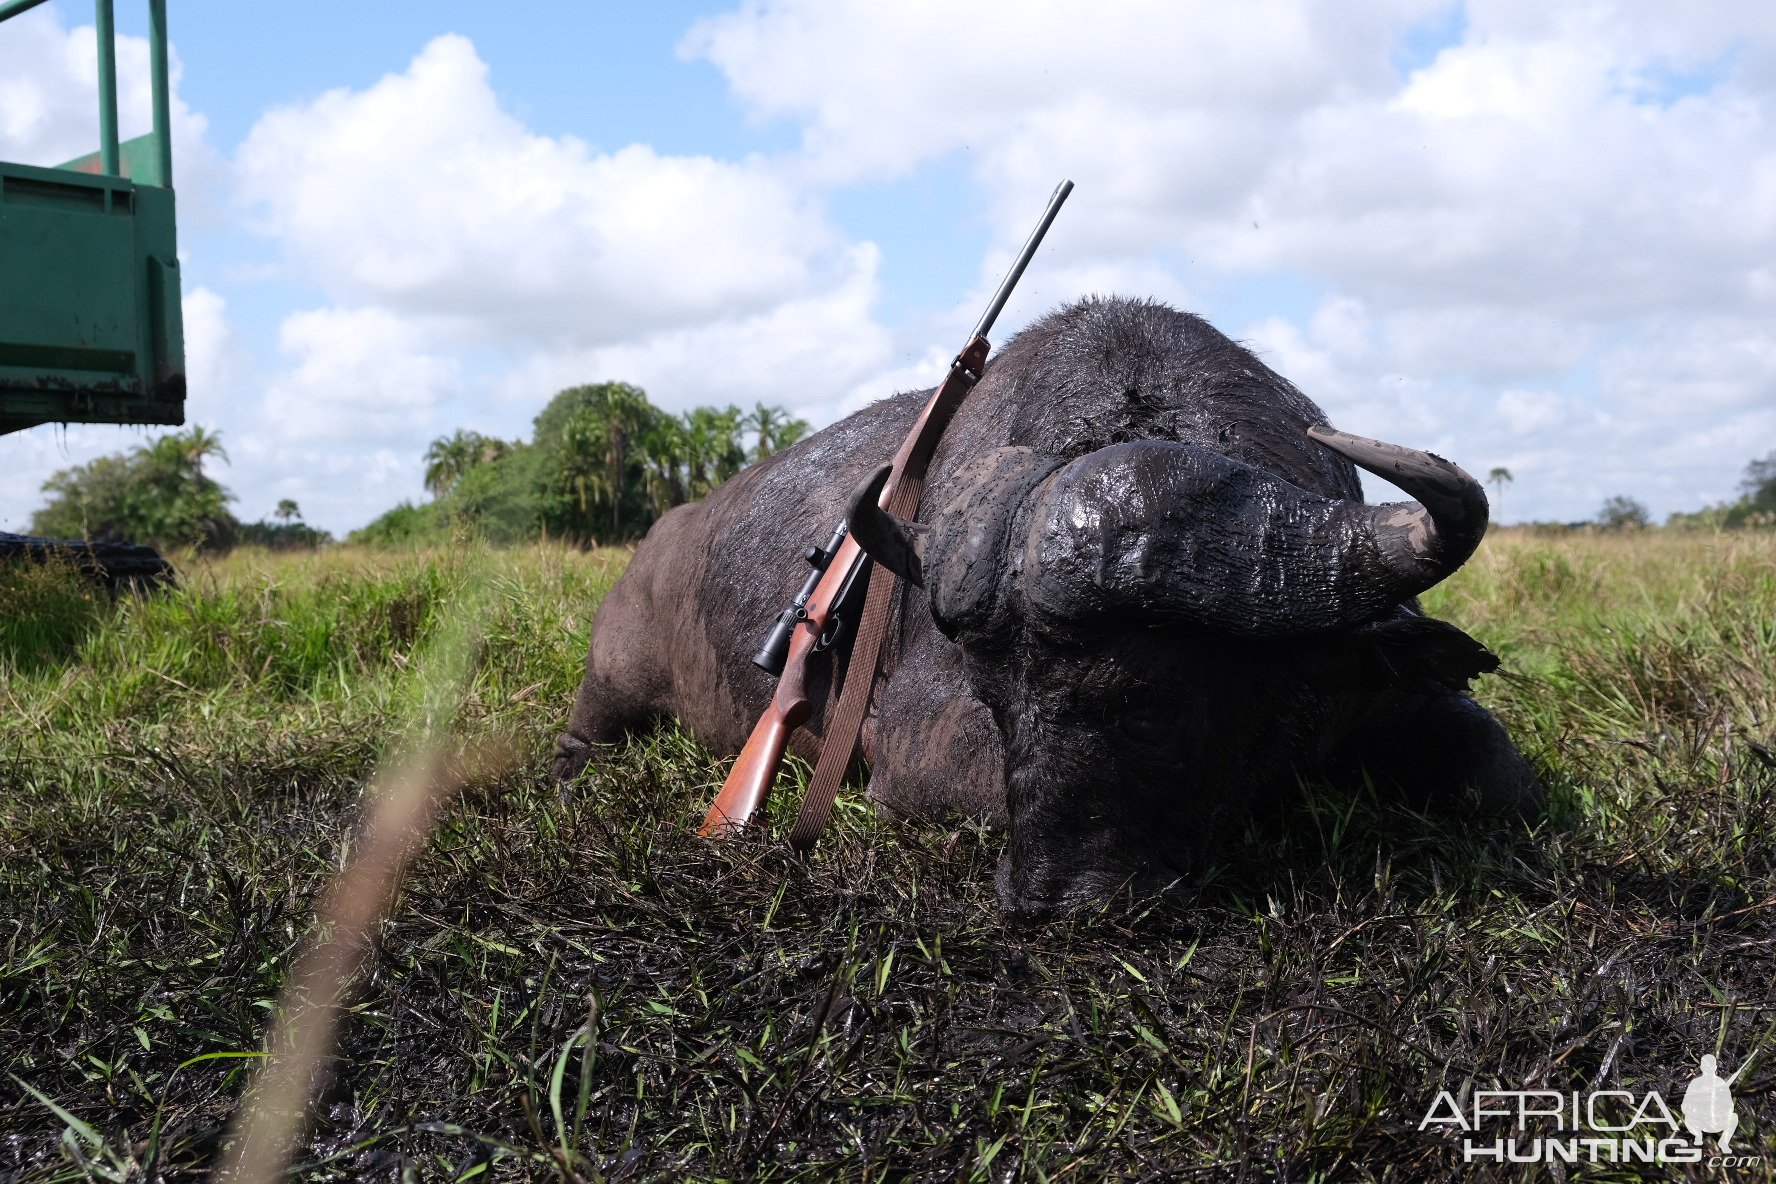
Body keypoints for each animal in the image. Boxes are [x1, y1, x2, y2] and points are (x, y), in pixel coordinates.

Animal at [554, 296, 1541, 915]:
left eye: (1152, 697)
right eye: (995, 696)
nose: (1058, 897)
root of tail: (665, 535)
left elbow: (1499, 771)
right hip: (610, 679)